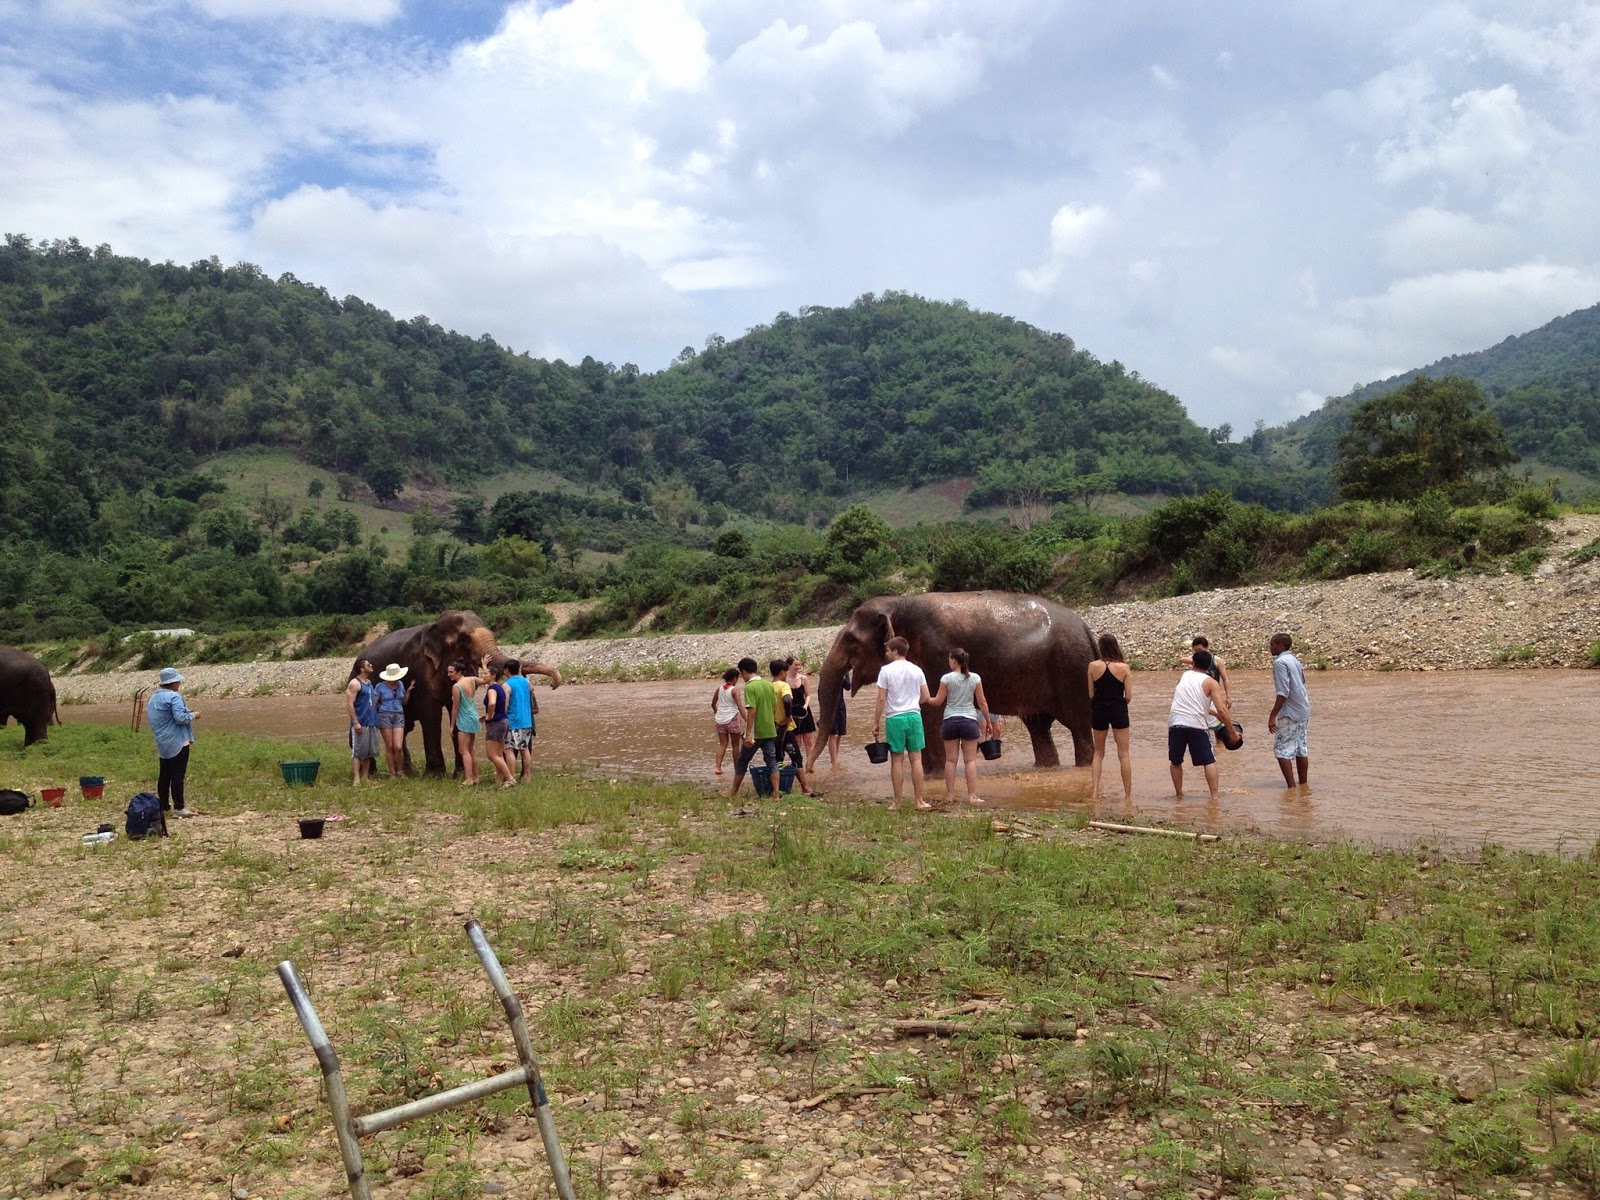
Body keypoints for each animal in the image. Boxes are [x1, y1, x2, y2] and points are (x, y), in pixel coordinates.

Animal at [353, 611, 566, 780]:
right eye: (464, 638)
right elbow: (430, 713)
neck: (435, 625)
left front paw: (460, 775)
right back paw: (371, 773)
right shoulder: (421, 669)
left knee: (404, 729)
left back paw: (408, 773)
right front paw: (436, 777)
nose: (554, 684)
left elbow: (455, 707)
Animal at [806, 588, 1094, 771]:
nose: (809, 771)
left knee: (1079, 727)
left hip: (1072, 671)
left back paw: (1083, 766)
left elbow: (932, 714)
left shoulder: (935, 656)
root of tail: (1086, 627)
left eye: (851, 639)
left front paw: (933, 774)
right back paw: (1047, 767)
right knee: (1039, 726)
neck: (899, 602)